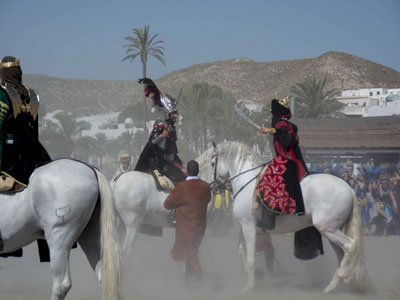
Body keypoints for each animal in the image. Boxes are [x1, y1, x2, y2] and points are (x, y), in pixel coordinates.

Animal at [206, 141, 368, 292]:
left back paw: (338, 280)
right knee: (341, 254)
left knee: (350, 246)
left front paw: (249, 287)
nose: (213, 187)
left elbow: (251, 257)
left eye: (213, 163)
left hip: (327, 229)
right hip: (332, 231)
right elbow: (241, 250)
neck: (247, 182)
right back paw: (336, 283)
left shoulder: (248, 226)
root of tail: (348, 188)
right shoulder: (246, 227)